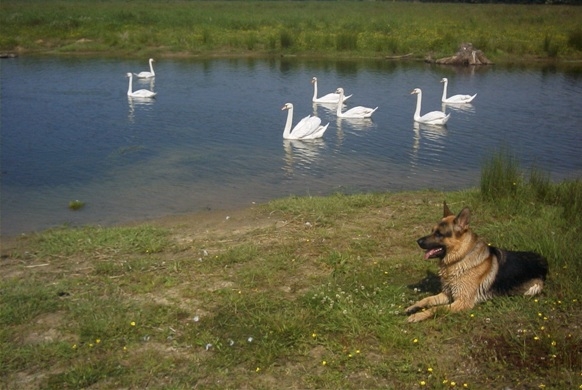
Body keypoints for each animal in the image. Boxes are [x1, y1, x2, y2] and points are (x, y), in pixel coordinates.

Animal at [408, 203, 548, 322]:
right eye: (432, 231)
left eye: (439, 234)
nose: (418, 241)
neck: (460, 258)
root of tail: (543, 260)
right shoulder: (447, 294)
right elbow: (427, 299)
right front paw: (413, 307)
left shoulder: (462, 301)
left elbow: (436, 308)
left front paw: (417, 315)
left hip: (533, 288)